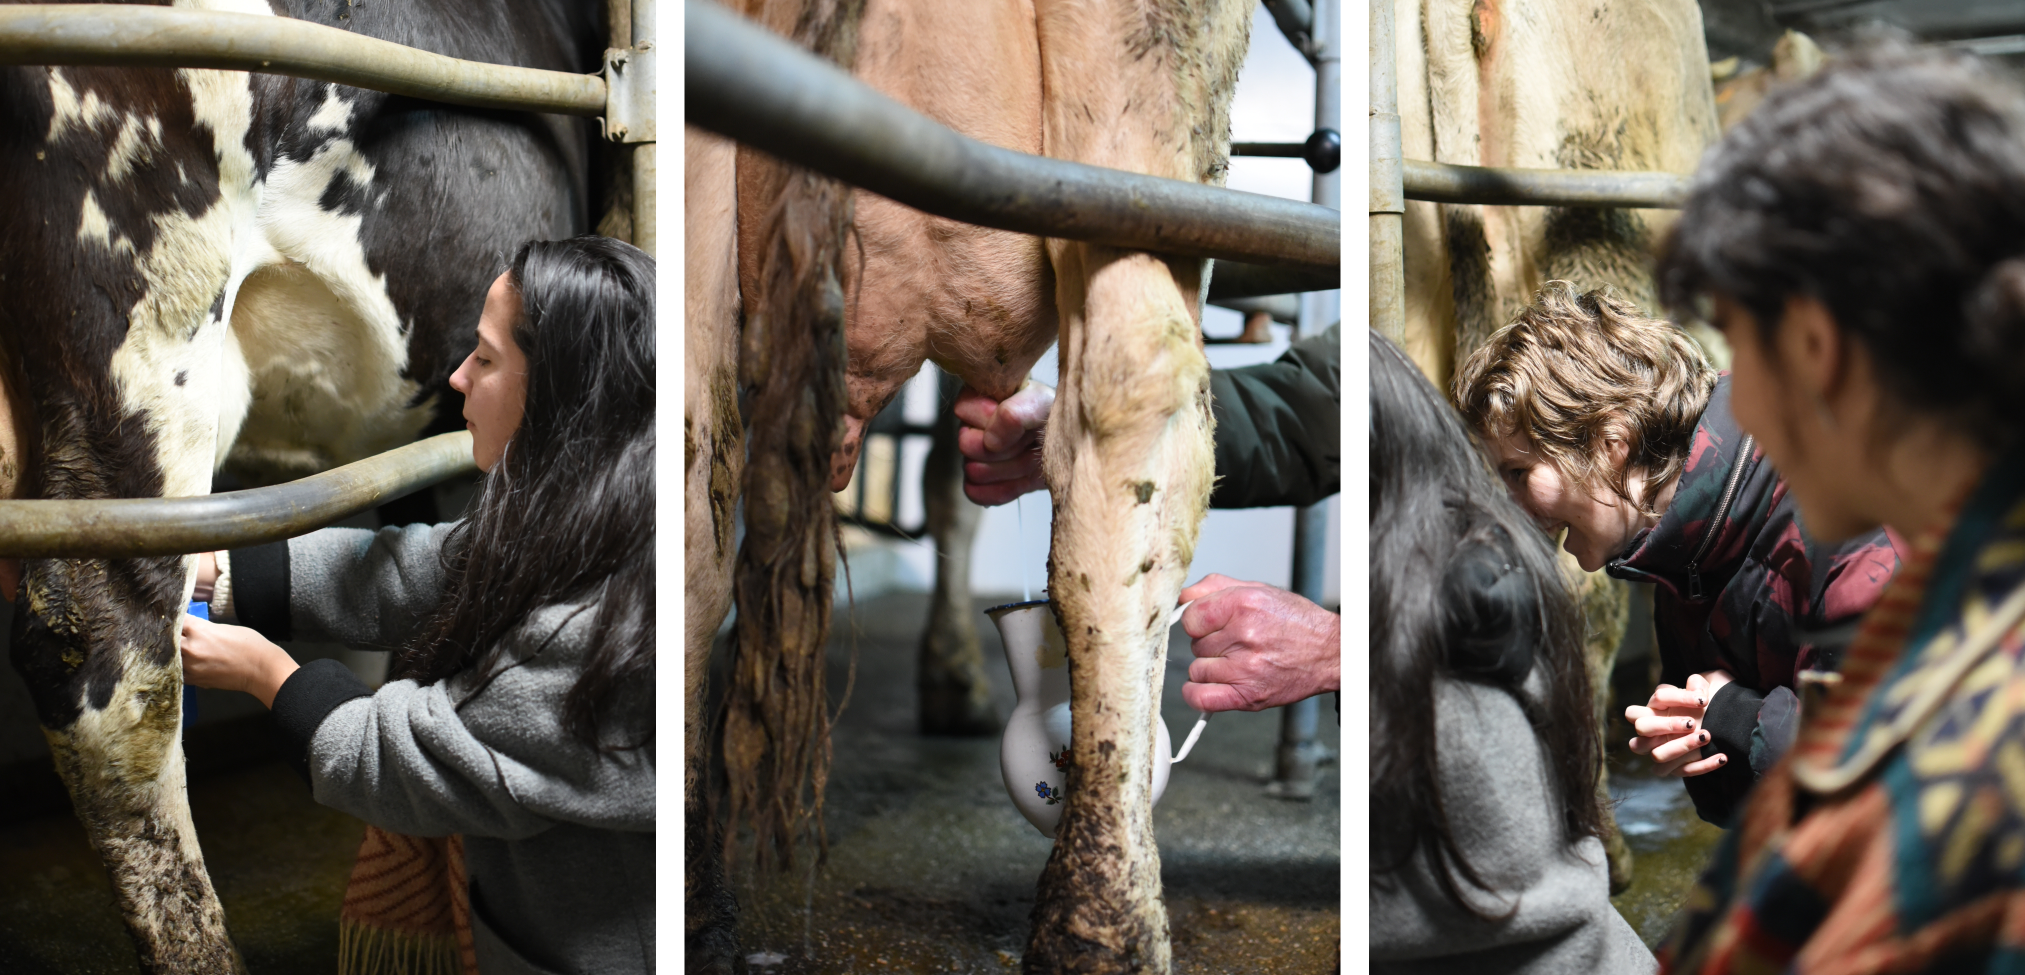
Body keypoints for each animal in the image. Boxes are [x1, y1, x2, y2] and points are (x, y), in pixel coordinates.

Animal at [680, 1, 1247, 964]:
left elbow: (950, 478)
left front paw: (946, 674)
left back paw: (688, 894)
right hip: (1147, 100)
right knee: (1136, 384)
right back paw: (1103, 923)